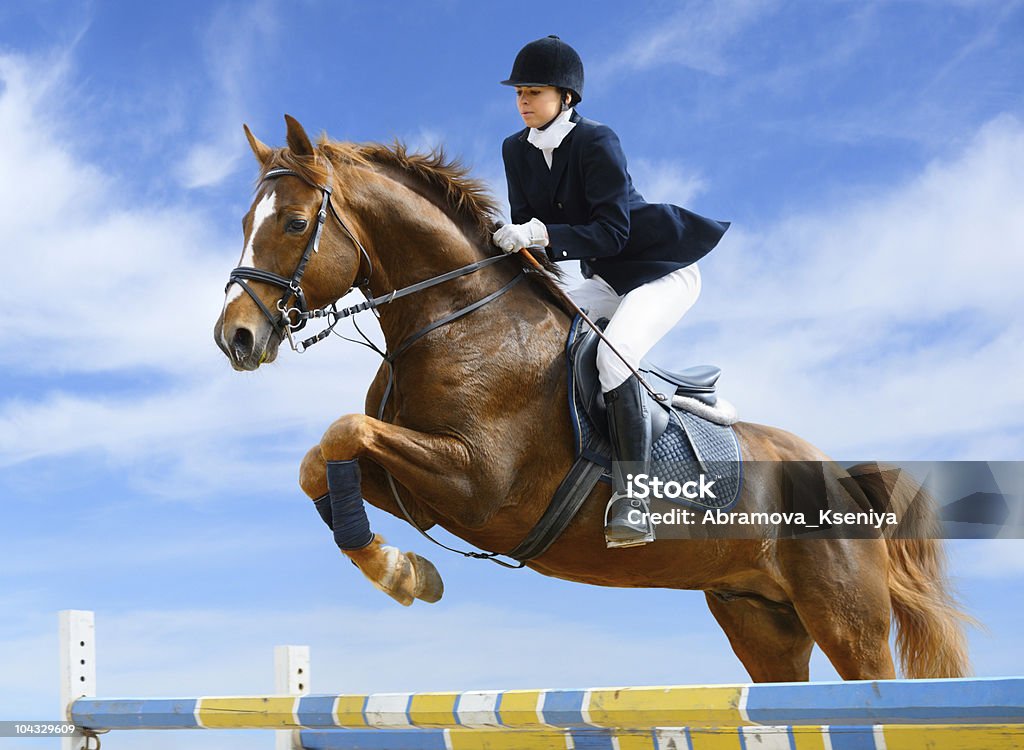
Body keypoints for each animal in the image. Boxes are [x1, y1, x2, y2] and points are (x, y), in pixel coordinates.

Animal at [214, 114, 966, 684]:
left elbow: (343, 432)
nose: (235, 338)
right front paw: (404, 571)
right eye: (246, 220)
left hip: (846, 620)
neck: (456, 317)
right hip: (760, 620)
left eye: (293, 223)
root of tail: (848, 475)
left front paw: (401, 575)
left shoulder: (477, 483)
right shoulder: (420, 489)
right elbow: (320, 459)